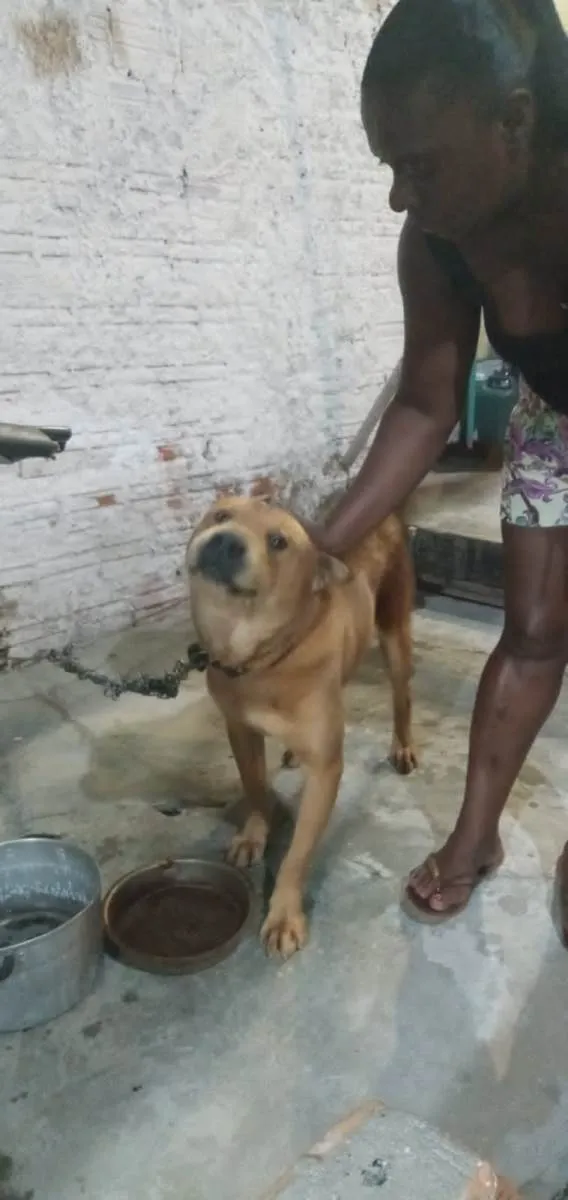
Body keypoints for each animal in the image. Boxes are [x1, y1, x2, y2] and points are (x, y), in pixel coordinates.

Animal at [188, 494, 413, 955]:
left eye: (278, 541)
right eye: (221, 515)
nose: (226, 541)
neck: (263, 659)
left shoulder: (327, 771)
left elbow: (297, 855)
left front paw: (284, 916)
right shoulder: (240, 730)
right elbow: (256, 788)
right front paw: (254, 836)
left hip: (395, 632)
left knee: (402, 697)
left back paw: (402, 745)